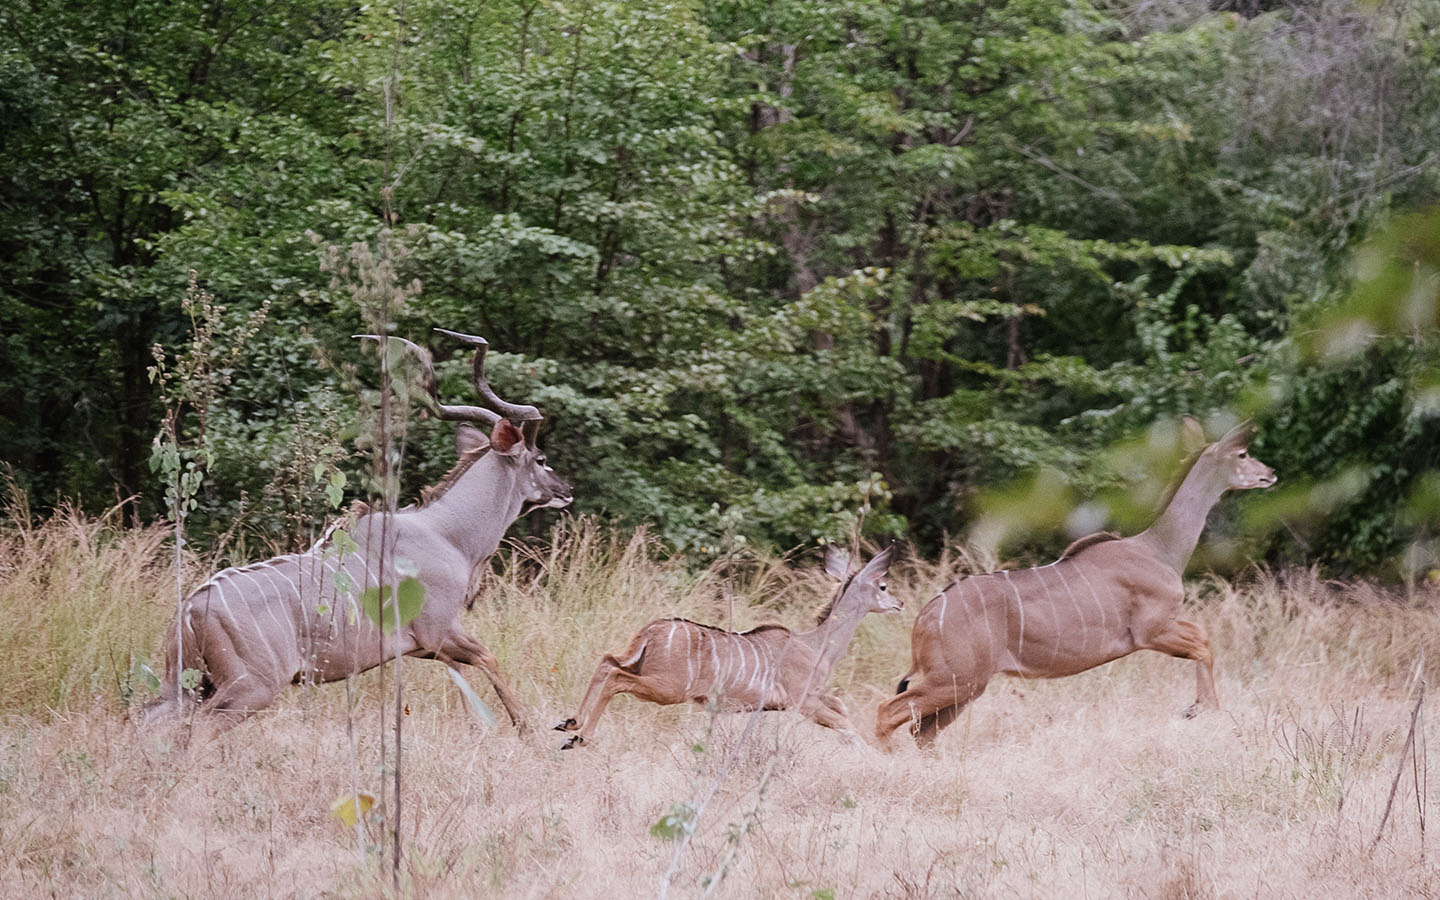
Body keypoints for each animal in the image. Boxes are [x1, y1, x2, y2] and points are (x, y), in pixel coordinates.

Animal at [141, 329, 572, 729]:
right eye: (541, 458)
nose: (566, 490)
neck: (447, 533)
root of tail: (189, 611)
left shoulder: (429, 647)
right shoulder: (439, 633)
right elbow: (488, 659)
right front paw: (526, 728)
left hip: (187, 687)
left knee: (148, 720)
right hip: (249, 688)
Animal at [554, 546, 897, 748]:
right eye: (882, 586)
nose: (900, 604)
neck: (817, 644)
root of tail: (653, 630)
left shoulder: (812, 698)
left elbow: (842, 709)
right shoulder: (804, 702)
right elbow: (846, 724)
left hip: (638, 665)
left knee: (606, 661)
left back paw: (569, 723)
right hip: (667, 689)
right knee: (616, 678)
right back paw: (580, 738)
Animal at [874, 420, 1276, 750]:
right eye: (1242, 454)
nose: (1270, 473)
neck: (1159, 548)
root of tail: (924, 619)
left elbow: (1203, 640)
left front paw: (1198, 709)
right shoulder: (1151, 631)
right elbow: (1204, 644)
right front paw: (1201, 709)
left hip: (965, 686)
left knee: (921, 731)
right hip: (956, 679)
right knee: (887, 712)